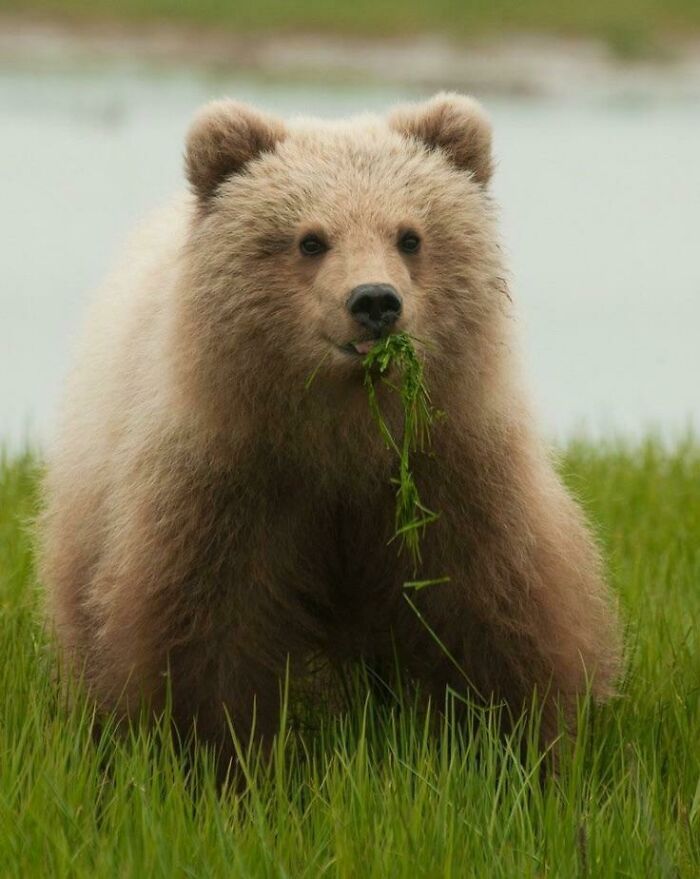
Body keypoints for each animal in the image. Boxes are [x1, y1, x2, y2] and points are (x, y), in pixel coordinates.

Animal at [39, 93, 622, 770]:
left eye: (410, 235)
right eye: (310, 240)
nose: (374, 301)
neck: (344, 435)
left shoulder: (446, 471)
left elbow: (492, 609)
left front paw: (511, 748)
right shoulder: (230, 478)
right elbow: (206, 632)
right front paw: (218, 758)